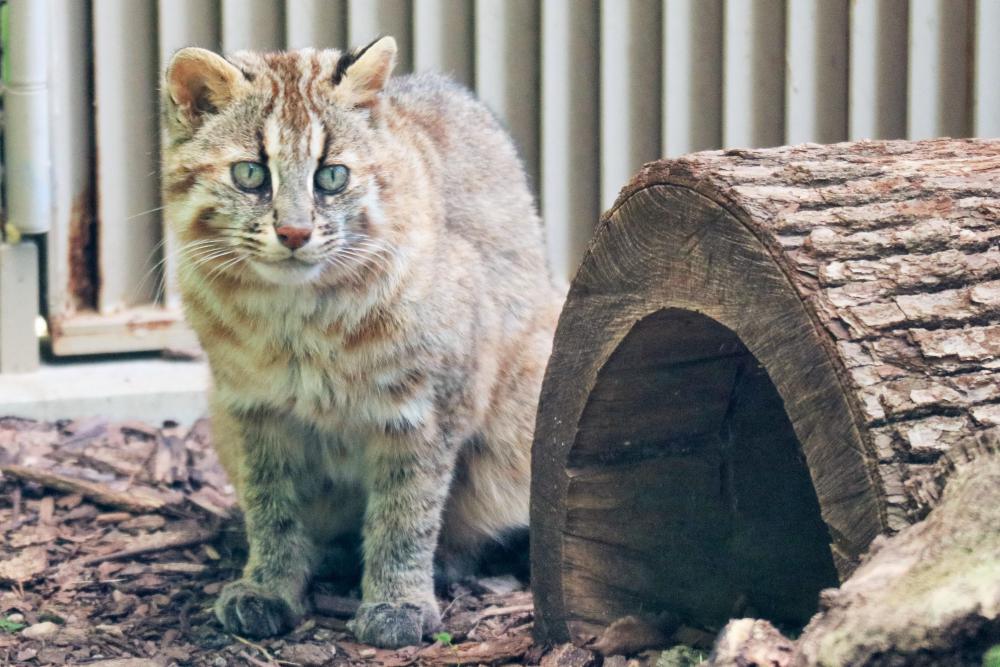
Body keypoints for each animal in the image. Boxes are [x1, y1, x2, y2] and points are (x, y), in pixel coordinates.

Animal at [161, 36, 562, 648]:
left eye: (331, 177)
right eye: (250, 174)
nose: (295, 233)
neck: (295, 317)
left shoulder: (426, 409)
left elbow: (406, 511)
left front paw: (398, 601)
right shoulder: (252, 408)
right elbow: (272, 506)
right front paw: (269, 587)